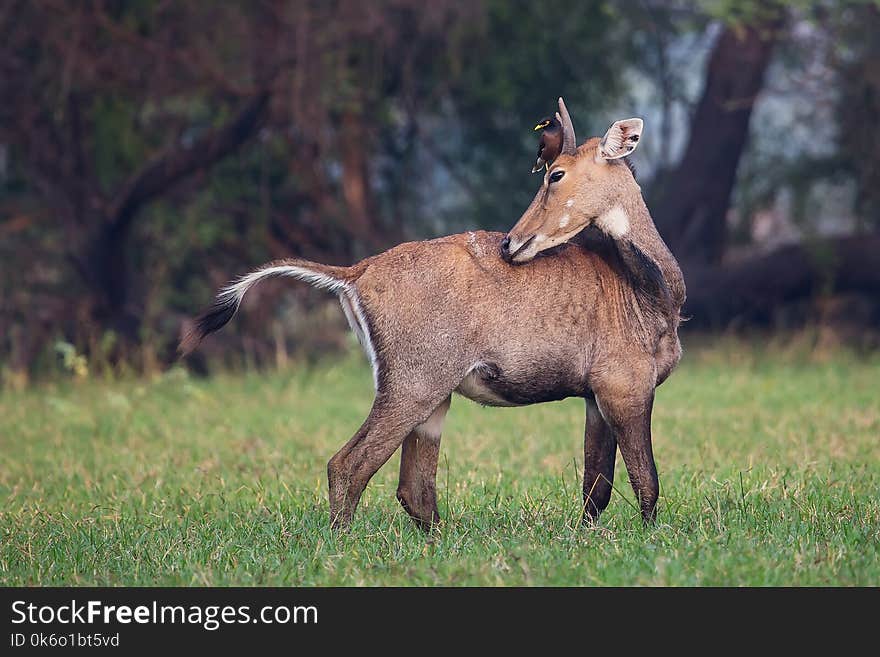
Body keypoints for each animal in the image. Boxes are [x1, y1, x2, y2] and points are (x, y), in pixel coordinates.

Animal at [180, 97, 688, 528]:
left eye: (556, 175)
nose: (509, 243)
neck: (652, 291)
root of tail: (356, 272)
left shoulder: (595, 397)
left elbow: (595, 488)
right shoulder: (625, 387)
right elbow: (647, 482)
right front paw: (648, 538)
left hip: (432, 398)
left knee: (413, 488)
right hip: (414, 386)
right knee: (348, 465)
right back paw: (342, 543)